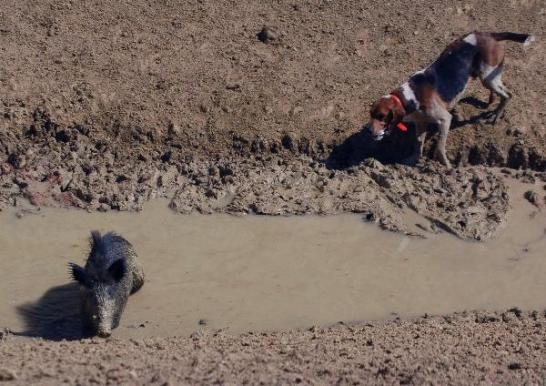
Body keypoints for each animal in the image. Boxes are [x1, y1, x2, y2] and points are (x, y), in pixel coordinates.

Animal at [364, 31, 532, 167]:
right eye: (371, 114)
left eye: (382, 117)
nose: (369, 131)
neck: (409, 97)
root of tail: (489, 33)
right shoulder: (420, 123)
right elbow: (418, 143)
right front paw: (413, 159)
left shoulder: (445, 120)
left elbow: (439, 147)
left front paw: (446, 165)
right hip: (486, 76)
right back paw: (491, 100)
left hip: (487, 77)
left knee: (508, 95)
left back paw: (496, 114)